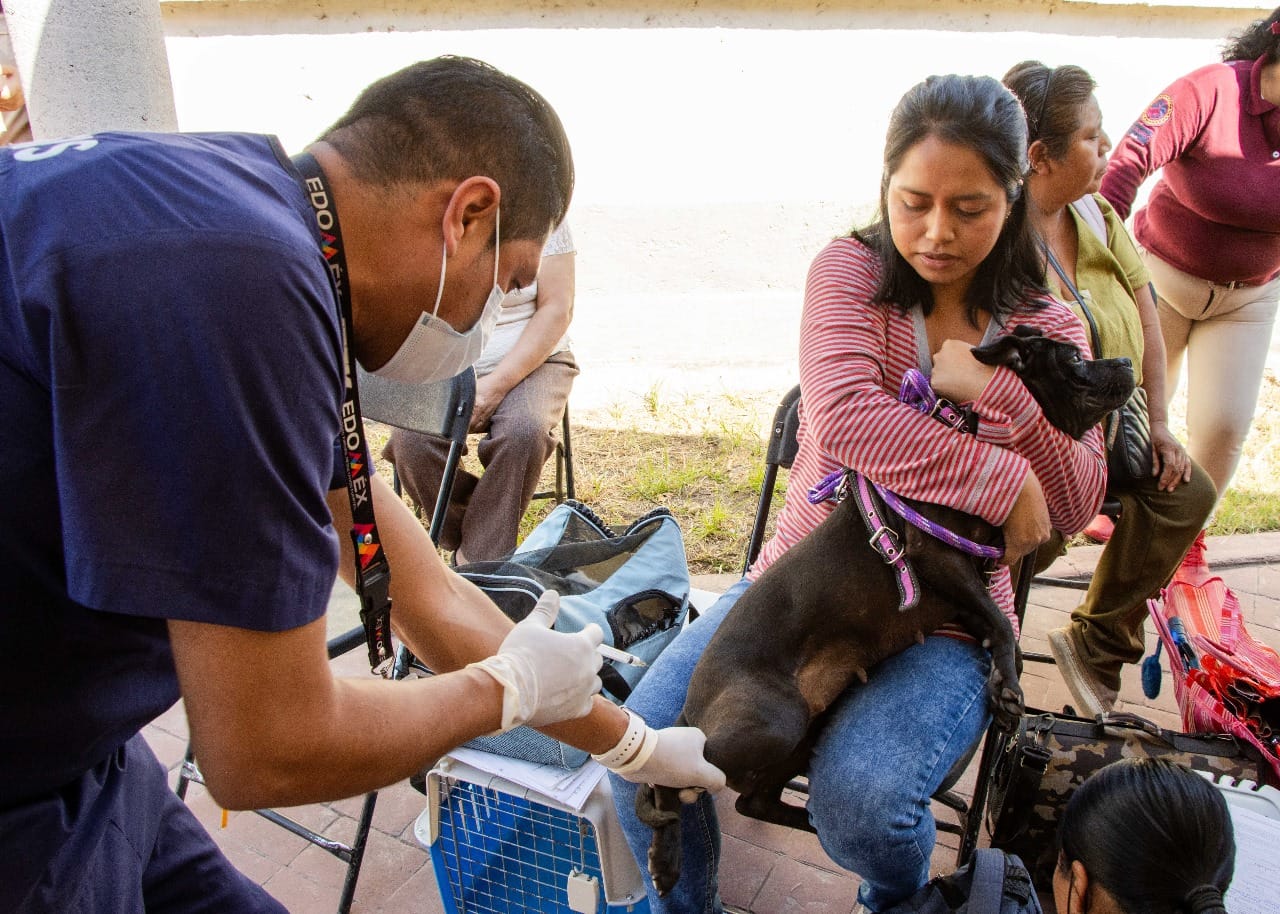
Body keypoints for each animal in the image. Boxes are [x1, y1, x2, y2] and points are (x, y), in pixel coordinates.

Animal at [637, 323, 1131, 896]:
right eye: (1074, 357)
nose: (1126, 362)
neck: (980, 433)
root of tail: (694, 706)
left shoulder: (964, 590)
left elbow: (995, 623)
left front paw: (1002, 679)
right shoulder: (937, 557)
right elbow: (1003, 624)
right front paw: (1009, 687)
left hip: (804, 732)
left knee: (751, 801)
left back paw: (807, 826)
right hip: (773, 722)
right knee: (664, 778)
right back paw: (666, 859)